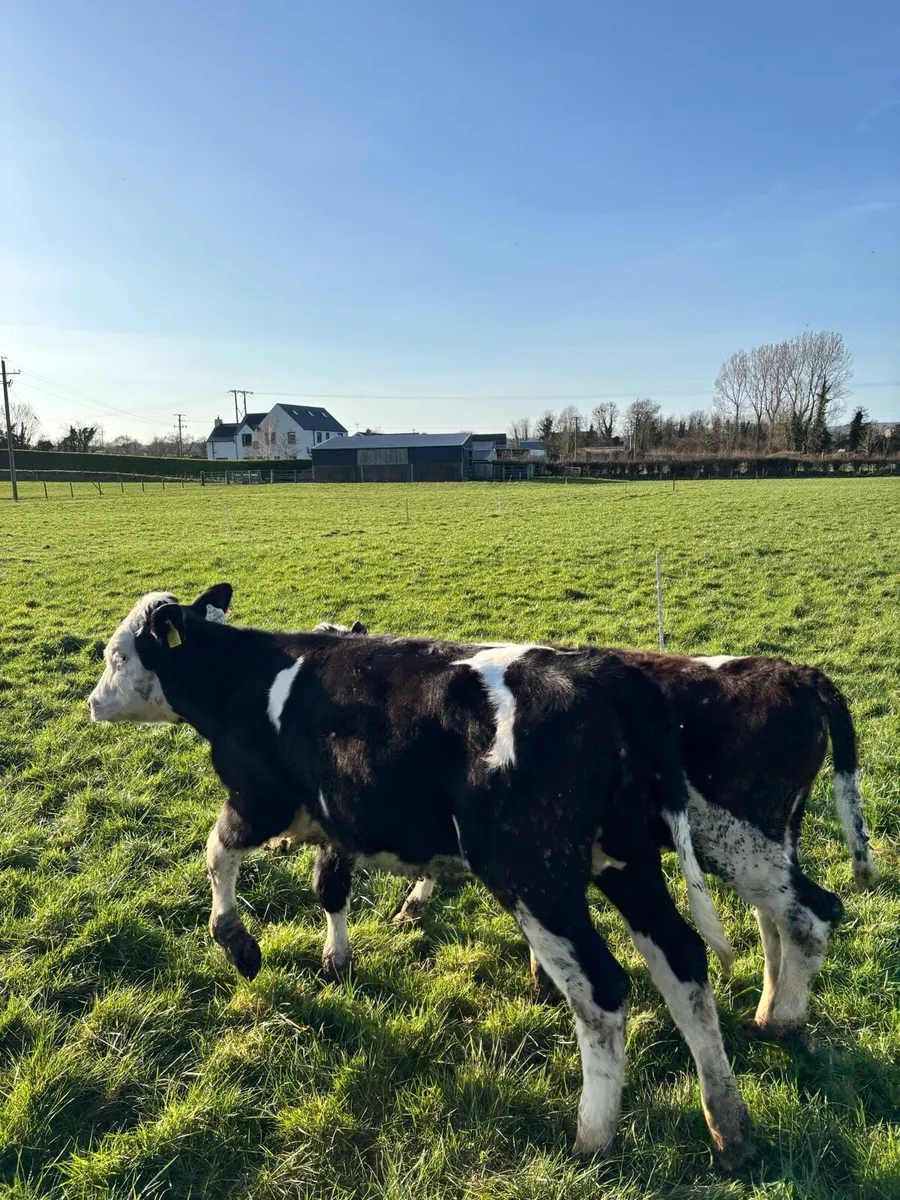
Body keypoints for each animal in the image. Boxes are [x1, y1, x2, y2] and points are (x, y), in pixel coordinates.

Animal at [89, 586, 754, 1169]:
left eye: (117, 655)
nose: (93, 702)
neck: (247, 680)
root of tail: (613, 677)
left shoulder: (258, 801)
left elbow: (216, 854)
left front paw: (236, 942)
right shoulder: (339, 821)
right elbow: (329, 887)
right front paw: (336, 958)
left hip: (533, 876)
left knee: (601, 990)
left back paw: (593, 1137)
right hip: (625, 861)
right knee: (683, 963)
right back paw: (728, 1124)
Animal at [311, 625, 879, 1048]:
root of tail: (795, 673)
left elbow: (330, 884)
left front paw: (336, 959)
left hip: (739, 840)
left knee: (810, 914)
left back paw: (782, 1022)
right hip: (770, 843)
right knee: (776, 920)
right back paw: (766, 1008)